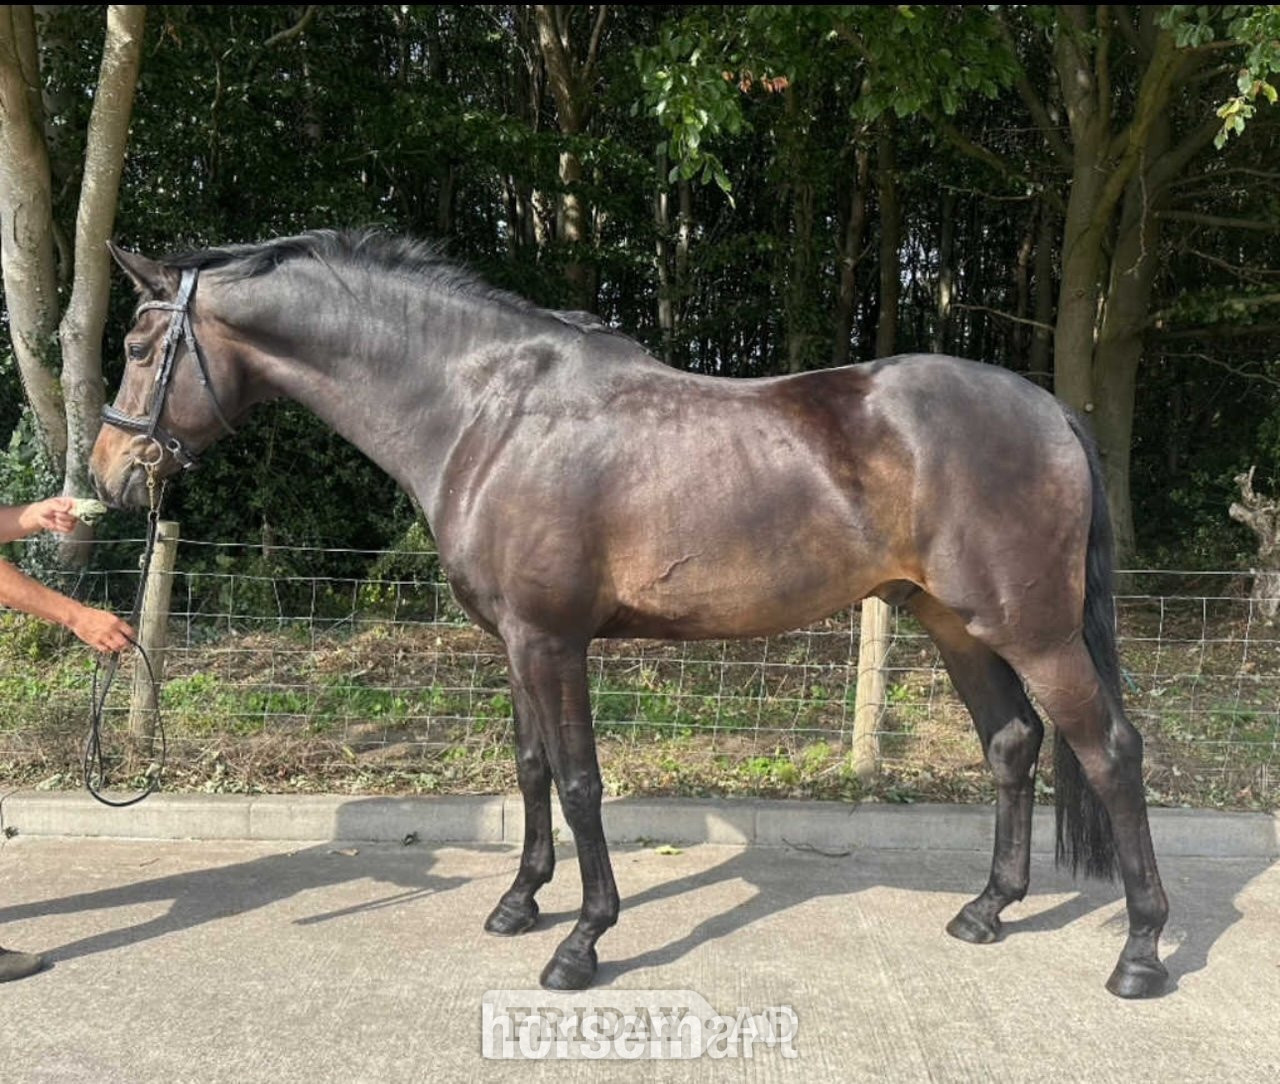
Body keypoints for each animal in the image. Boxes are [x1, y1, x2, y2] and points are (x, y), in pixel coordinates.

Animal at [81, 229, 1168, 999]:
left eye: (137, 345)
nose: (109, 474)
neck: (485, 414)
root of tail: (1050, 409)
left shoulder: (551, 640)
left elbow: (577, 782)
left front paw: (580, 940)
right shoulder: (514, 643)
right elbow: (526, 771)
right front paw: (518, 902)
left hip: (1031, 629)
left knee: (1110, 750)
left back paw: (1140, 951)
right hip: (953, 624)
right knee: (1013, 744)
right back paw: (986, 911)